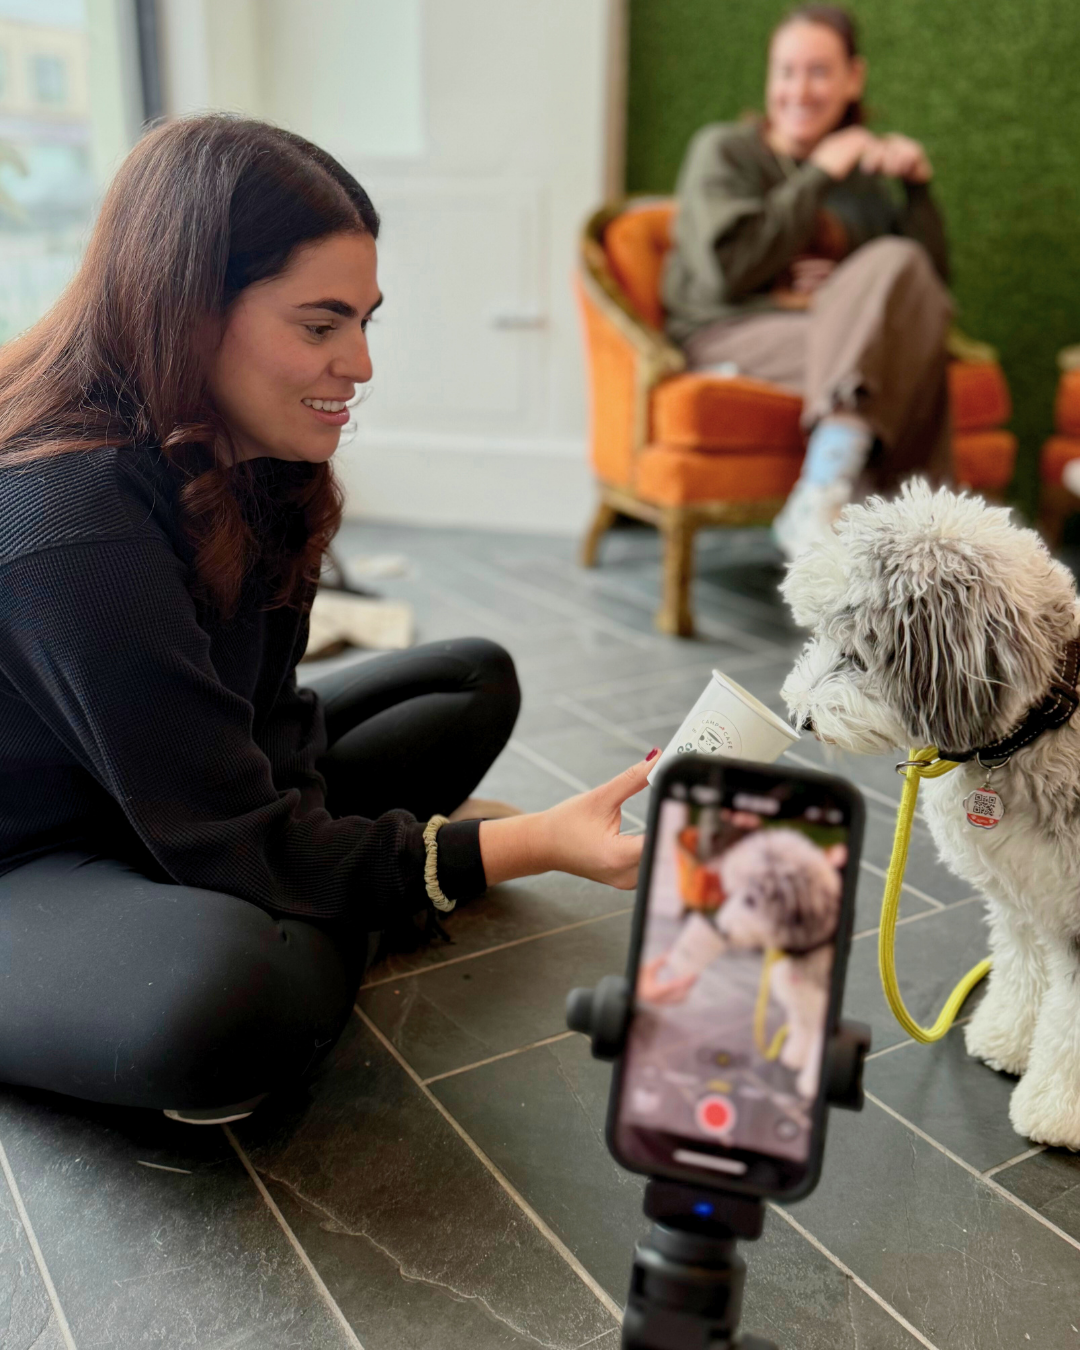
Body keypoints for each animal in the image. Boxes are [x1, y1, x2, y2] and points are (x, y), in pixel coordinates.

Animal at [715, 828, 842, 1099]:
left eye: (751, 899)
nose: (720, 929)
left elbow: (819, 1048)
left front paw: (811, 1084)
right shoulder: (799, 1001)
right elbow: (801, 1026)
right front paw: (795, 1054)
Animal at [781, 479, 1080, 1147]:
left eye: (858, 653)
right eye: (815, 632)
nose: (800, 717)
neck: (1039, 724)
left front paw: (1057, 1111)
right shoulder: (1021, 890)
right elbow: (1023, 967)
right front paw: (1007, 1038)